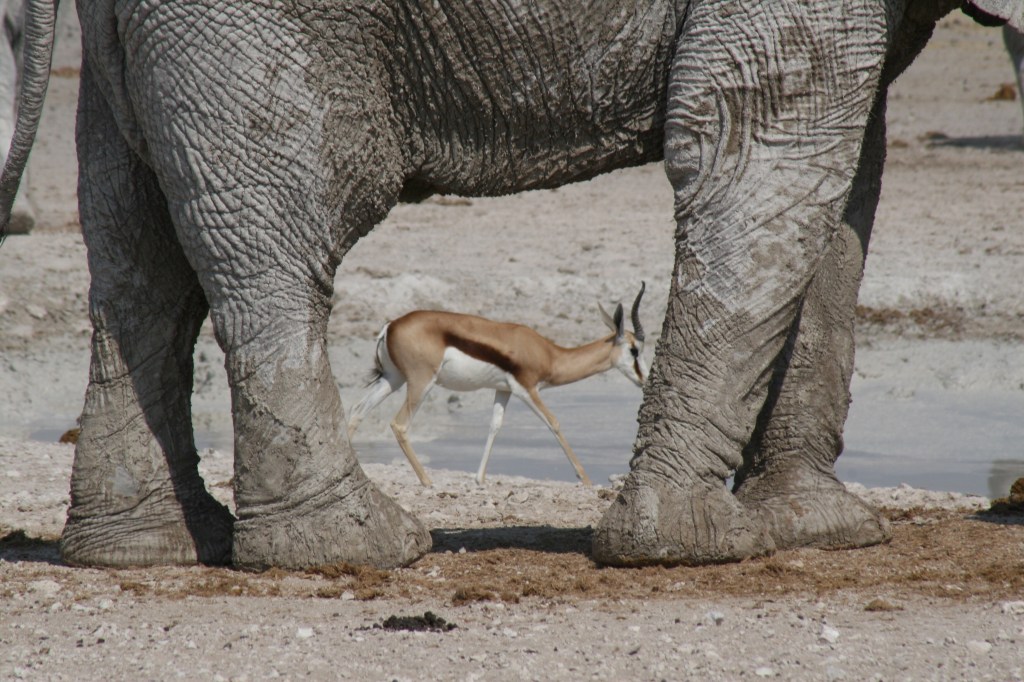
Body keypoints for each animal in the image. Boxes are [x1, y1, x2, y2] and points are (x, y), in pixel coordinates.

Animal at [0, 0, 1019, 570]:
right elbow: (757, 160)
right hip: (248, 40)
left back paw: (150, 551)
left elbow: (844, 197)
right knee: (271, 246)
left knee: (137, 259)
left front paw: (816, 528)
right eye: (635, 345)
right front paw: (684, 542)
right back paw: (358, 550)